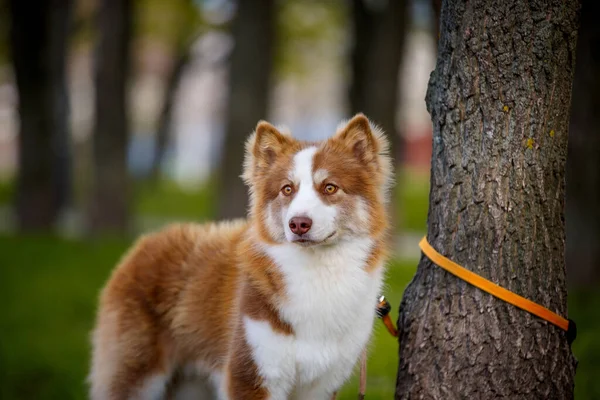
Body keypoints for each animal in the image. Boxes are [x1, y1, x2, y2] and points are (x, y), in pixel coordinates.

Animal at [88, 113, 394, 400]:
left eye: (330, 187)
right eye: (287, 189)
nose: (298, 224)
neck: (318, 273)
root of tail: (146, 241)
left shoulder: (321, 385)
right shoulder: (251, 375)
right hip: (135, 373)